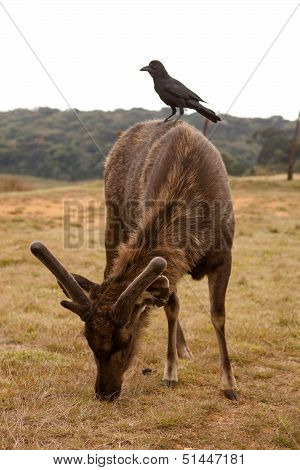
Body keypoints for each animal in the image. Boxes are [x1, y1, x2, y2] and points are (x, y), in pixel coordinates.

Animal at [29, 119, 237, 402]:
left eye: (126, 339)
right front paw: (170, 373)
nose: (104, 392)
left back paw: (184, 349)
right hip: (113, 221)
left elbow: (218, 315)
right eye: (88, 341)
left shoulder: (225, 254)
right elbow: (172, 309)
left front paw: (229, 383)